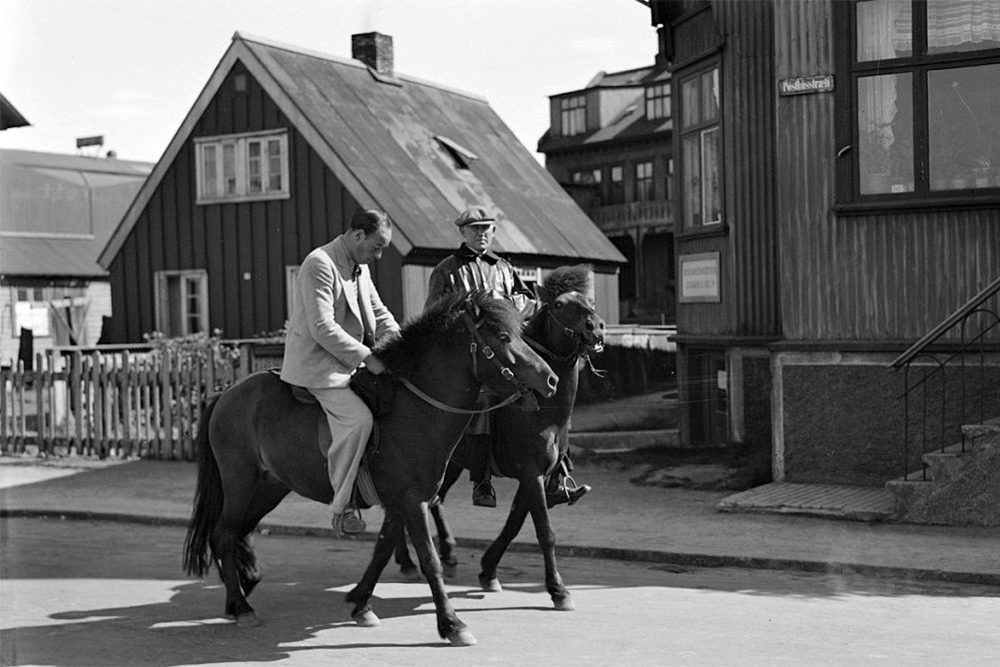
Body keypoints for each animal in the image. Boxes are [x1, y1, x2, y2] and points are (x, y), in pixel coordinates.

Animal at [184, 294, 560, 648]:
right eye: (503, 337)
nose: (551, 379)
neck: (414, 410)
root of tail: (226, 394)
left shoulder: (400, 503)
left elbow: (381, 552)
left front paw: (362, 604)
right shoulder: (413, 501)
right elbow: (430, 561)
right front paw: (452, 624)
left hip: (270, 487)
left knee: (237, 533)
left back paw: (240, 592)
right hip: (240, 482)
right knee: (225, 534)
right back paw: (240, 605)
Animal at [394, 264, 604, 612]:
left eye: (589, 302)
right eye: (560, 304)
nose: (596, 328)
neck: (542, 409)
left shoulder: (533, 476)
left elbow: (515, 523)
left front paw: (489, 570)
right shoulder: (531, 474)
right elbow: (544, 531)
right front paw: (559, 590)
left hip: (451, 465)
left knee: (431, 502)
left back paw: (440, 555)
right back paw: (412, 560)